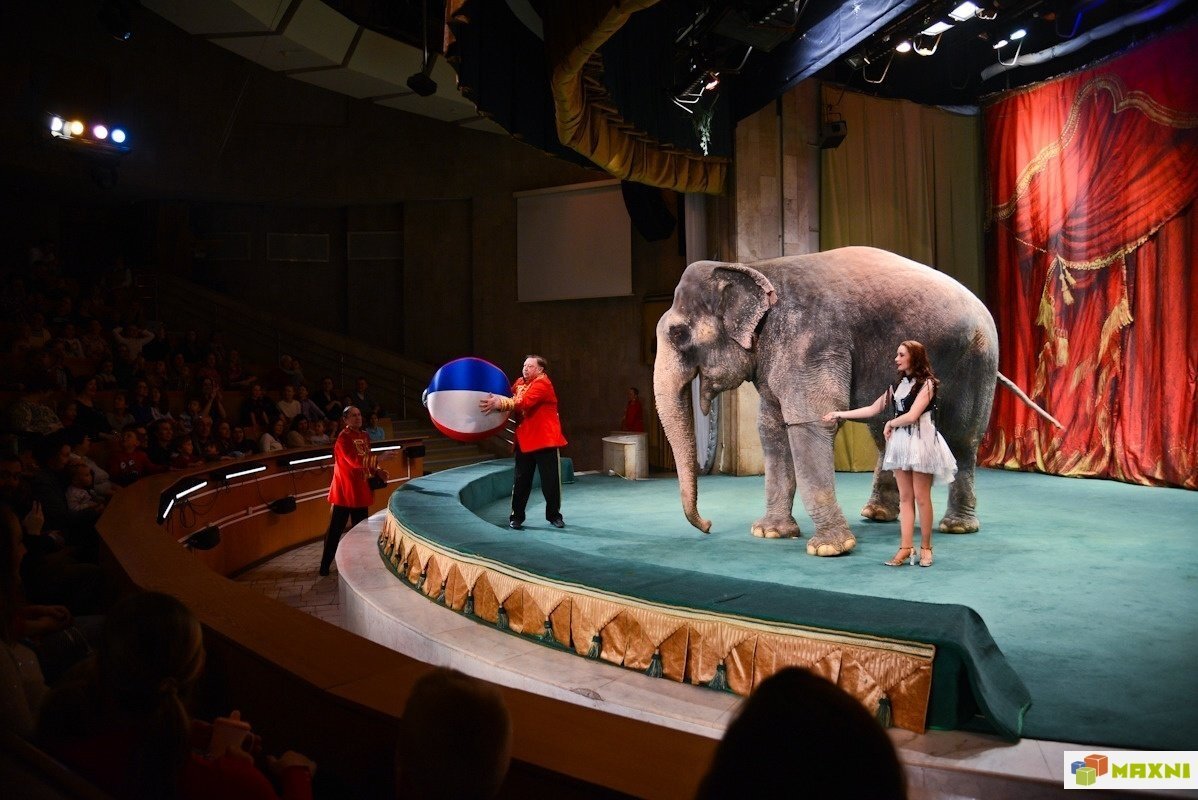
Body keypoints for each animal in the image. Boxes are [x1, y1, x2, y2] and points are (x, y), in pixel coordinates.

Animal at [656, 245, 1039, 555]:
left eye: (678, 334)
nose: (707, 526)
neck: (754, 266)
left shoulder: (810, 341)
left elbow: (810, 423)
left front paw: (828, 549)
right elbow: (772, 429)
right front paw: (769, 533)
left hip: (978, 361)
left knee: (962, 438)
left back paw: (956, 527)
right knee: (885, 430)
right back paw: (878, 515)